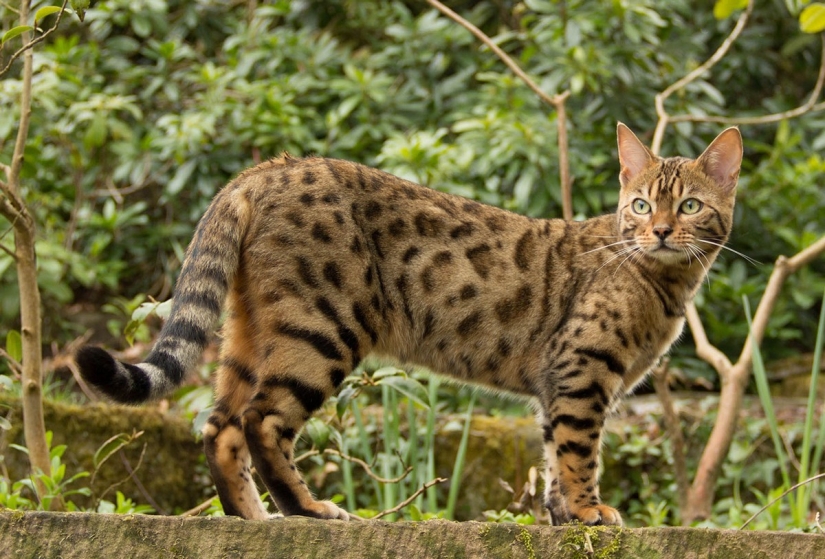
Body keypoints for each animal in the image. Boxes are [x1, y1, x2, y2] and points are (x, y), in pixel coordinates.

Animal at [75, 124, 740, 528]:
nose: (659, 231)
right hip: (321, 329)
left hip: (249, 332)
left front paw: (560, 517)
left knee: (220, 427)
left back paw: (254, 520)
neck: (659, 280)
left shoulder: (558, 384)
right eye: (640, 205)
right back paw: (308, 510)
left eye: (689, 206)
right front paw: (589, 513)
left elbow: (553, 455)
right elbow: (579, 454)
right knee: (261, 421)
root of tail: (268, 168)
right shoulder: (582, 371)